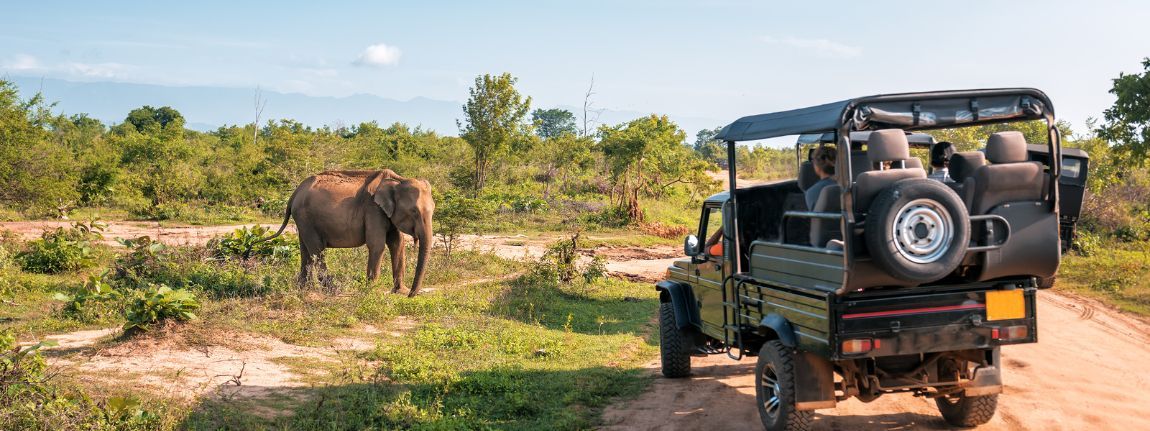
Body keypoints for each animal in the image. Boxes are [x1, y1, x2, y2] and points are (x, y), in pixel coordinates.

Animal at [261, 168, 434, 296]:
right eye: (414, 212)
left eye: (433, 210)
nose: (411, 294)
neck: (398, 180)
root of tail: (294, 193)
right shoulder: (373, 209)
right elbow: (377, 245)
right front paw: (370, 291)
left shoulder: (387, 213)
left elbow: (397, 244)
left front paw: (400, 291)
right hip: (306, 218)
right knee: (317, 250)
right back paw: (332, 289)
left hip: (303, 220)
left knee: (306, 250)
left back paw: (304, 289)